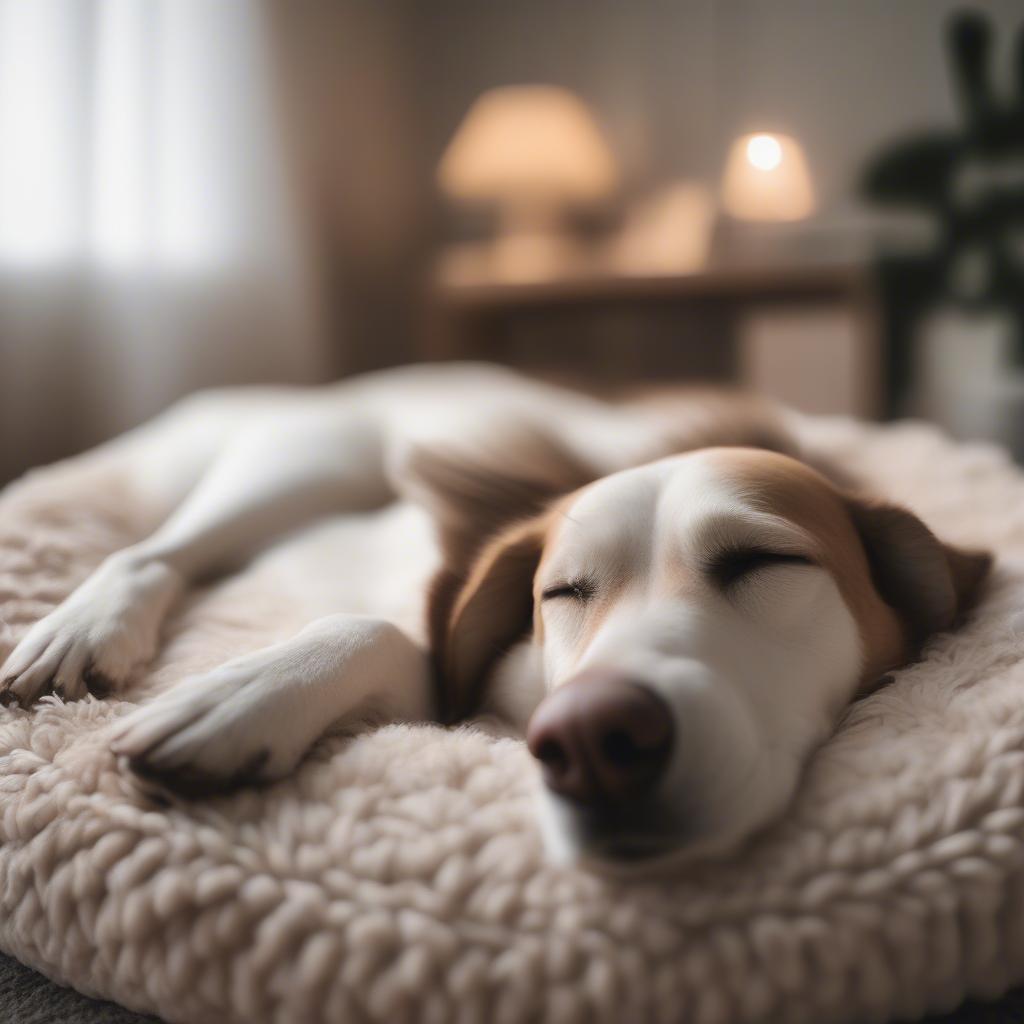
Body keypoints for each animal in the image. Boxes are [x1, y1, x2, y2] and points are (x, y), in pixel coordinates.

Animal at [0, 364, 991, 868]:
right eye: (562, 593)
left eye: (762, 561)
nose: (590, 738)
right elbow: (377, 625)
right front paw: (242, 694)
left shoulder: (451, 677)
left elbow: (398, 641)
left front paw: (245, 702)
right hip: (305, 461)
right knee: (155, 552)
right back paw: (84, 626)